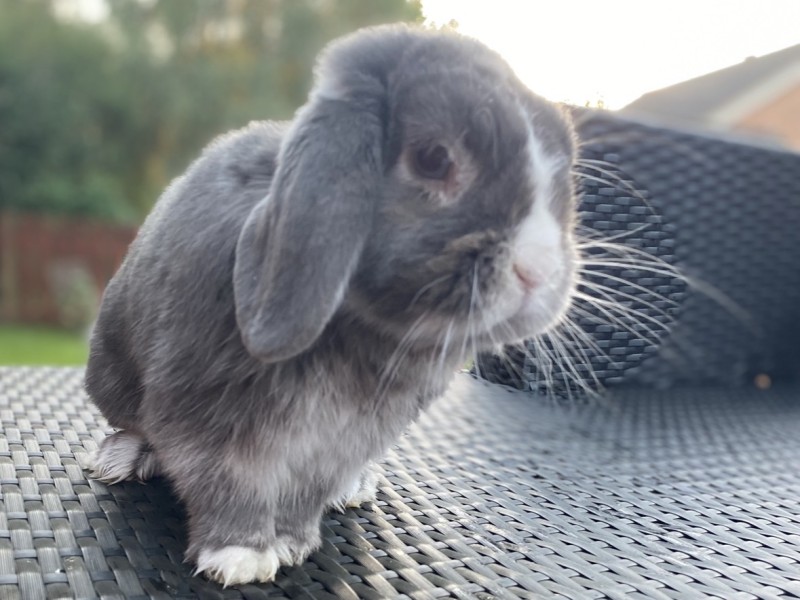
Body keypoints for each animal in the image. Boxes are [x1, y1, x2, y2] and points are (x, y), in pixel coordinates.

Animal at [84, 24, 578, 586]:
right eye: (433, 158)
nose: (537, 269)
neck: (365, 329)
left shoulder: (339, 446)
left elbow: (305, 495)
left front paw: (293, 544)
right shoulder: (207, 422)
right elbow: (227, 482)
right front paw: (240, 557)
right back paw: (125, 457)